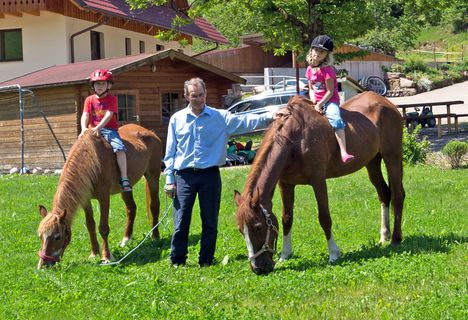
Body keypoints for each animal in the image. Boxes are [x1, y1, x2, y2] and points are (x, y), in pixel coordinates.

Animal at [36, 124, 163, 268]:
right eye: (40, 236)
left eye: (57, 236)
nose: (43, 265)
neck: (90, 159)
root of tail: (151, 133)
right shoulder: (85, 199)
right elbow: (90, 224)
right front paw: (94, 253)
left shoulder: (104, 197)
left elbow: (103, 228)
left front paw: (106, 256)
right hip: (126, 189)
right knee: (131, 209)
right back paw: (126, 239)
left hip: (153, 176)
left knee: (154, 206)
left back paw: (155, 236)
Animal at [234, 92, 406, 276]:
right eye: (241, 230)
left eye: (258, 227)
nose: (258, 268)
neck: (294, 141)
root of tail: (386, 102)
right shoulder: (286, 184)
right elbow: (287, 218)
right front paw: (285, 254)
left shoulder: (318, 181)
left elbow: (324, 218)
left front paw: (333, 253)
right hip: (372, 162)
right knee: (384, 194)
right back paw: (384, 236)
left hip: (392, 157)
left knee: (397, 196)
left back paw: (396, 238)